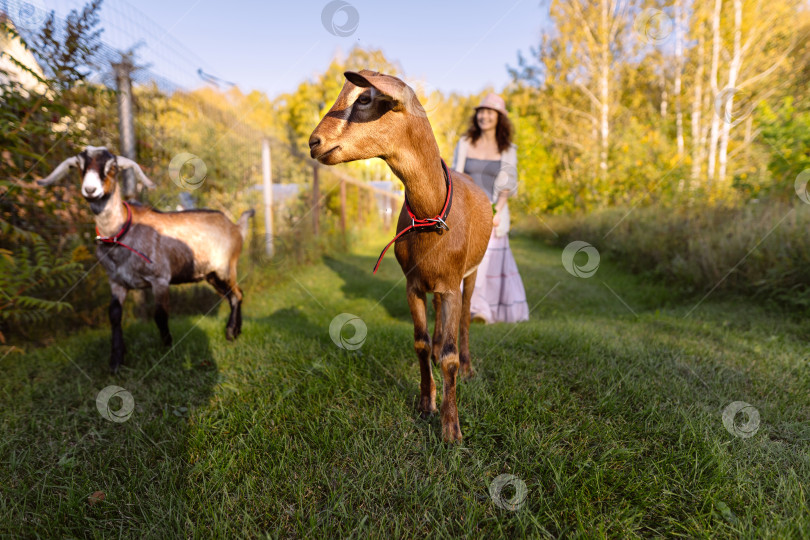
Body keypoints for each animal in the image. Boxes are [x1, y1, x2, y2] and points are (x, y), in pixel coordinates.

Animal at [38, 148, 251, 376]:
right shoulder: (117, 282)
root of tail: (236, 227)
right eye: (79, 165)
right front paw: (116, 361)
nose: (90, 189)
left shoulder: (160, 279)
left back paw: (230, 333)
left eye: (112, 166)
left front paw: (167, 347)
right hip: (211, 275)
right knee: (233, 296)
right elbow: (114, 315)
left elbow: (160, 314)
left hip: (225, 268)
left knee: (237, 294)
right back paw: (236, 331)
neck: (121, 232)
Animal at [308, 70, 490, 442]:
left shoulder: (452, 282)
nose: (313, 142)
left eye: (364, 98)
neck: (431, 214)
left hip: (471, 274)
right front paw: (425, 403)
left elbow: (449, 355)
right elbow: (420, 343)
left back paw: (468, 368)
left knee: (464, 321)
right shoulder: (414, 284)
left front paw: (451, 429)